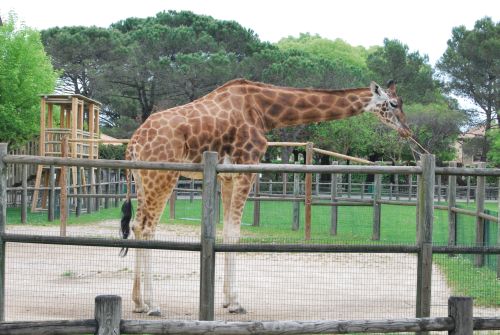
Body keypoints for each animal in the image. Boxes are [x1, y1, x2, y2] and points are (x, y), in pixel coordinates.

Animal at [120, 79, 410, 318]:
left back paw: (138, 303)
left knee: (136, 226)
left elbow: (226, 230)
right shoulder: (247, 166)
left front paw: (227, 300)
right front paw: (236, 303)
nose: (407, 130)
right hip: (163, 176)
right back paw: (153, 305)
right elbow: (234, 233)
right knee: (148, 228)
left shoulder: (227, 175)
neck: (265, 111)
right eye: (394, 103)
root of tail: (132, 145)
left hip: (143, 180)